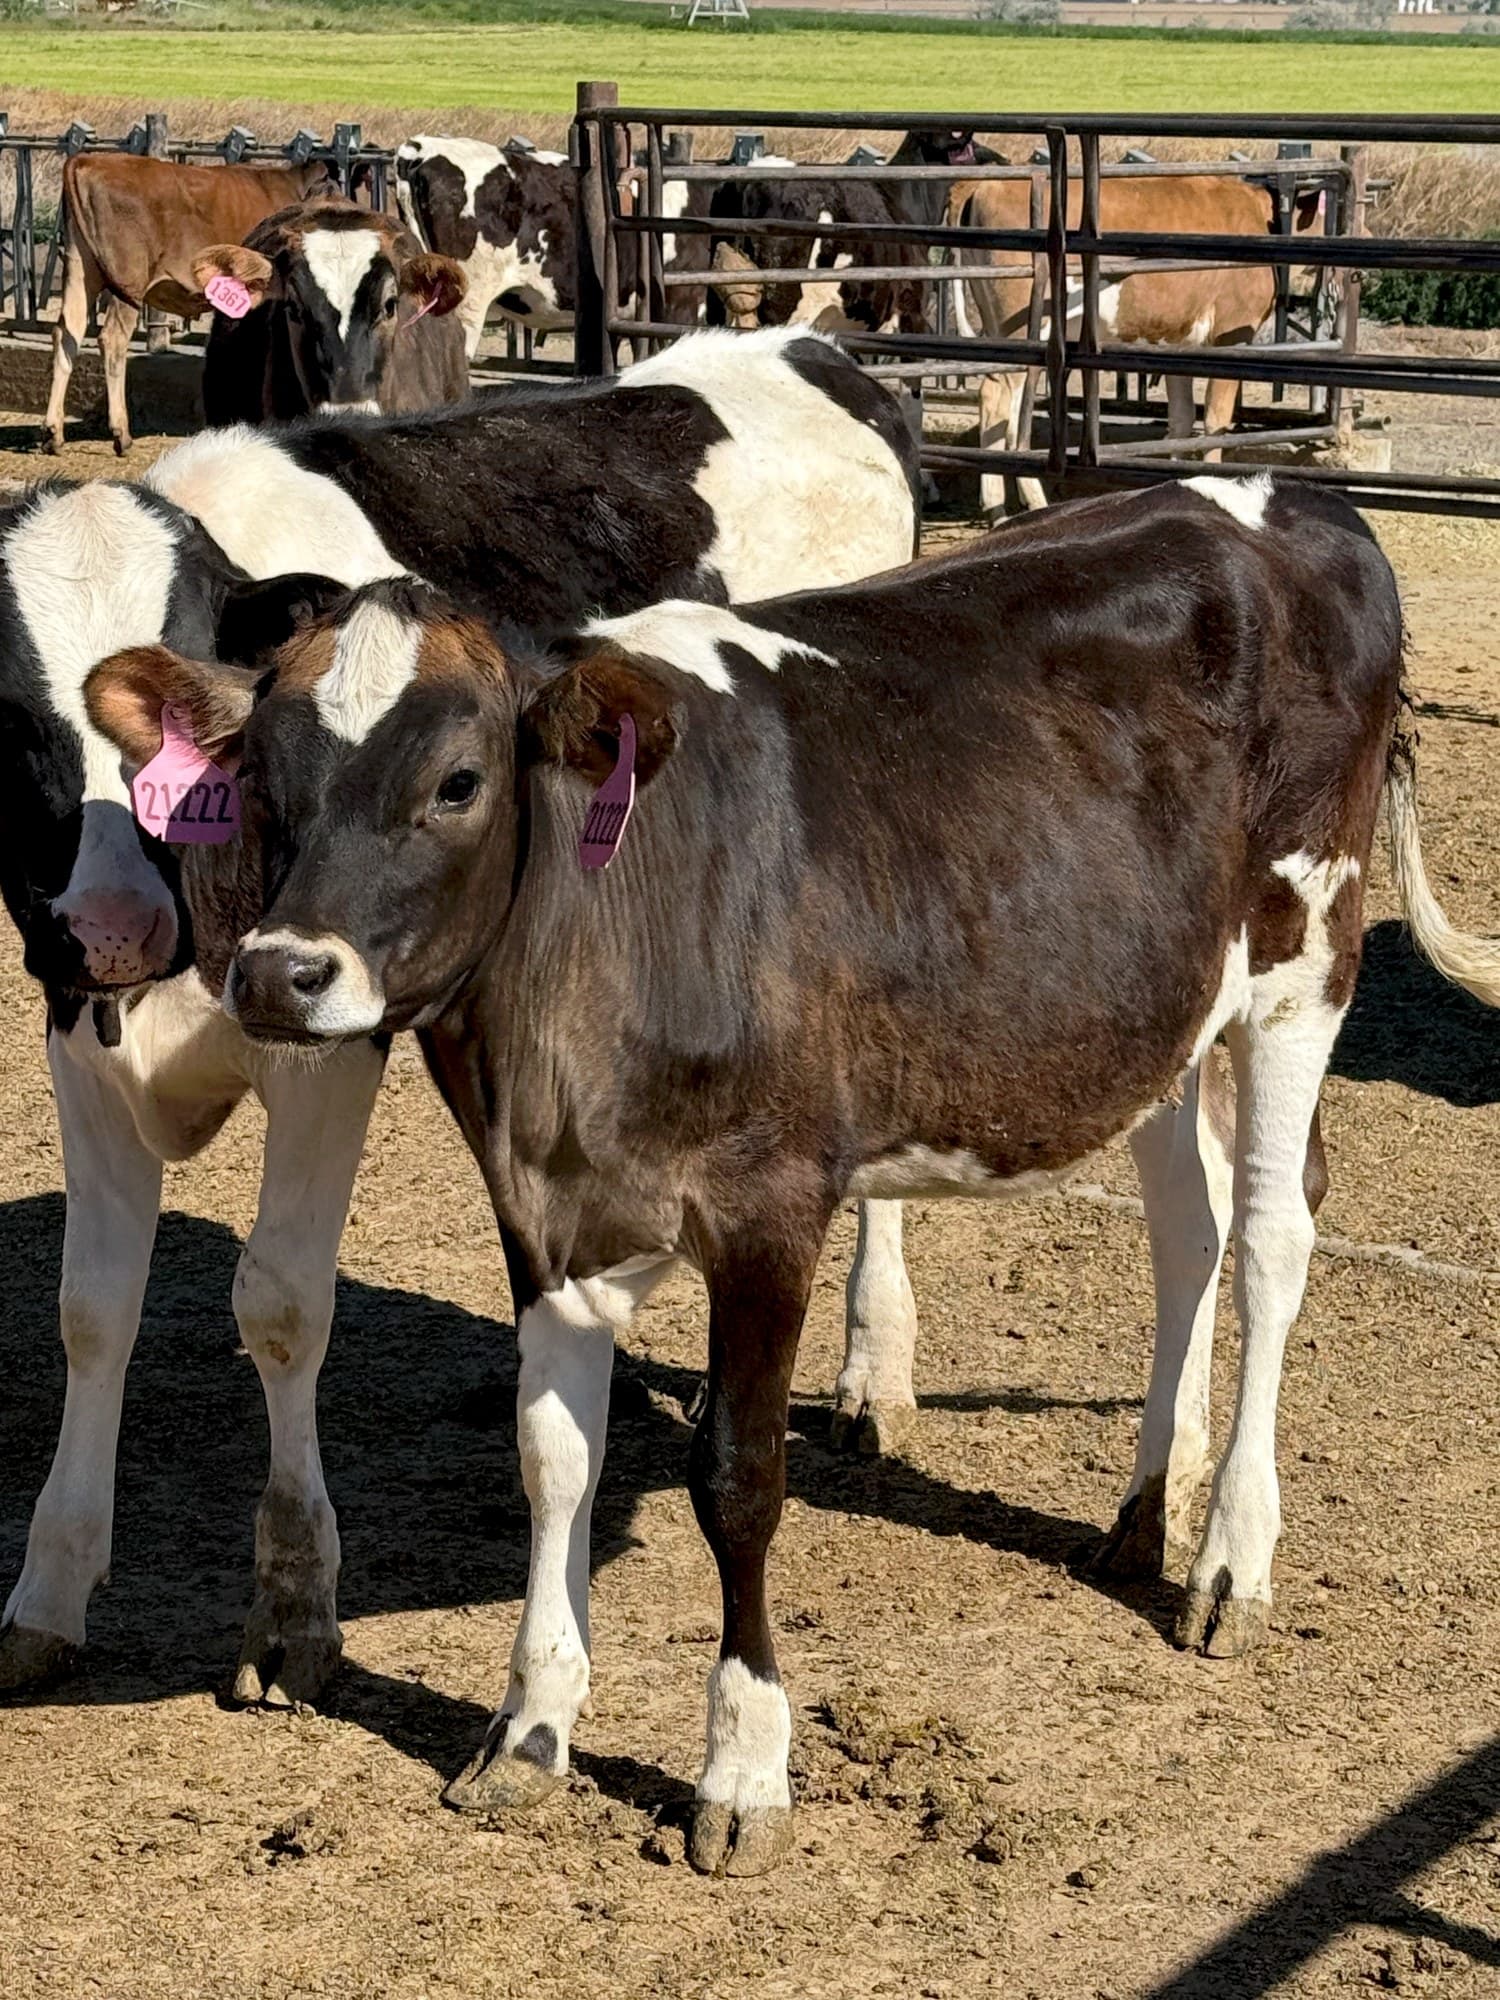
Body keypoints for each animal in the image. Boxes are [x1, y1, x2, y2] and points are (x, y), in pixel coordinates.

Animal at [0, 326, 921, 1705]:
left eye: (195, 733)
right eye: (9, 714)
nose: (117, 917)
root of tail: (805, 342)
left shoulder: (330, 1032)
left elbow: (281, 1298)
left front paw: (293, 1608)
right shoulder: (78, 1019)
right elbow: (91, 1307)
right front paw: (49, 1589)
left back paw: (873, 1367)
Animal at [44, 152, 336, 458]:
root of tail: (87, 160)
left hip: (80, 269)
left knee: (67, 333)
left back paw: (54, 433)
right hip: (128, 280)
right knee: (112, 339)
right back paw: (121, 434)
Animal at [92, 472, 1500, 1874]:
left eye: (457, 780)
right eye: (261, 781)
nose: (279, 973)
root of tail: (1291, 499)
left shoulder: (769, 1205)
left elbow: (740, 1480)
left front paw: (743, 1765)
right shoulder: (539, 1204)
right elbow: (552, 1456)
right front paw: (530, 1726)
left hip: (1304, 963)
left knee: (1269, 1238)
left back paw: (1228, 1562)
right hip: (1155, 1008)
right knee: (1187, 1228)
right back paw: (1153, 1507)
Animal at [953, 170, 1325, 512]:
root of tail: (985, 185)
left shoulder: (1179, 343)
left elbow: (1181, 419)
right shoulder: (1232, 335)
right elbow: (1216, 421)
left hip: (999, 329)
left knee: (995, 401)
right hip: (1022, 328)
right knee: (1002, 403)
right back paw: (1018, 504)